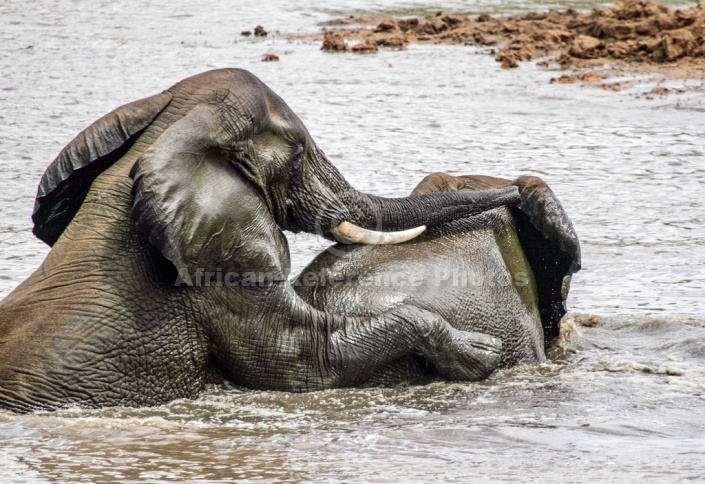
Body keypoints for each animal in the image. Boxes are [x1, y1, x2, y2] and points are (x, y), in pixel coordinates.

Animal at [0, 68, 524, 410]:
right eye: (297, 157)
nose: (518, 189)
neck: (167, 134)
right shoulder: (221, 270)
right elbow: (307, 362)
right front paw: (483, 353)